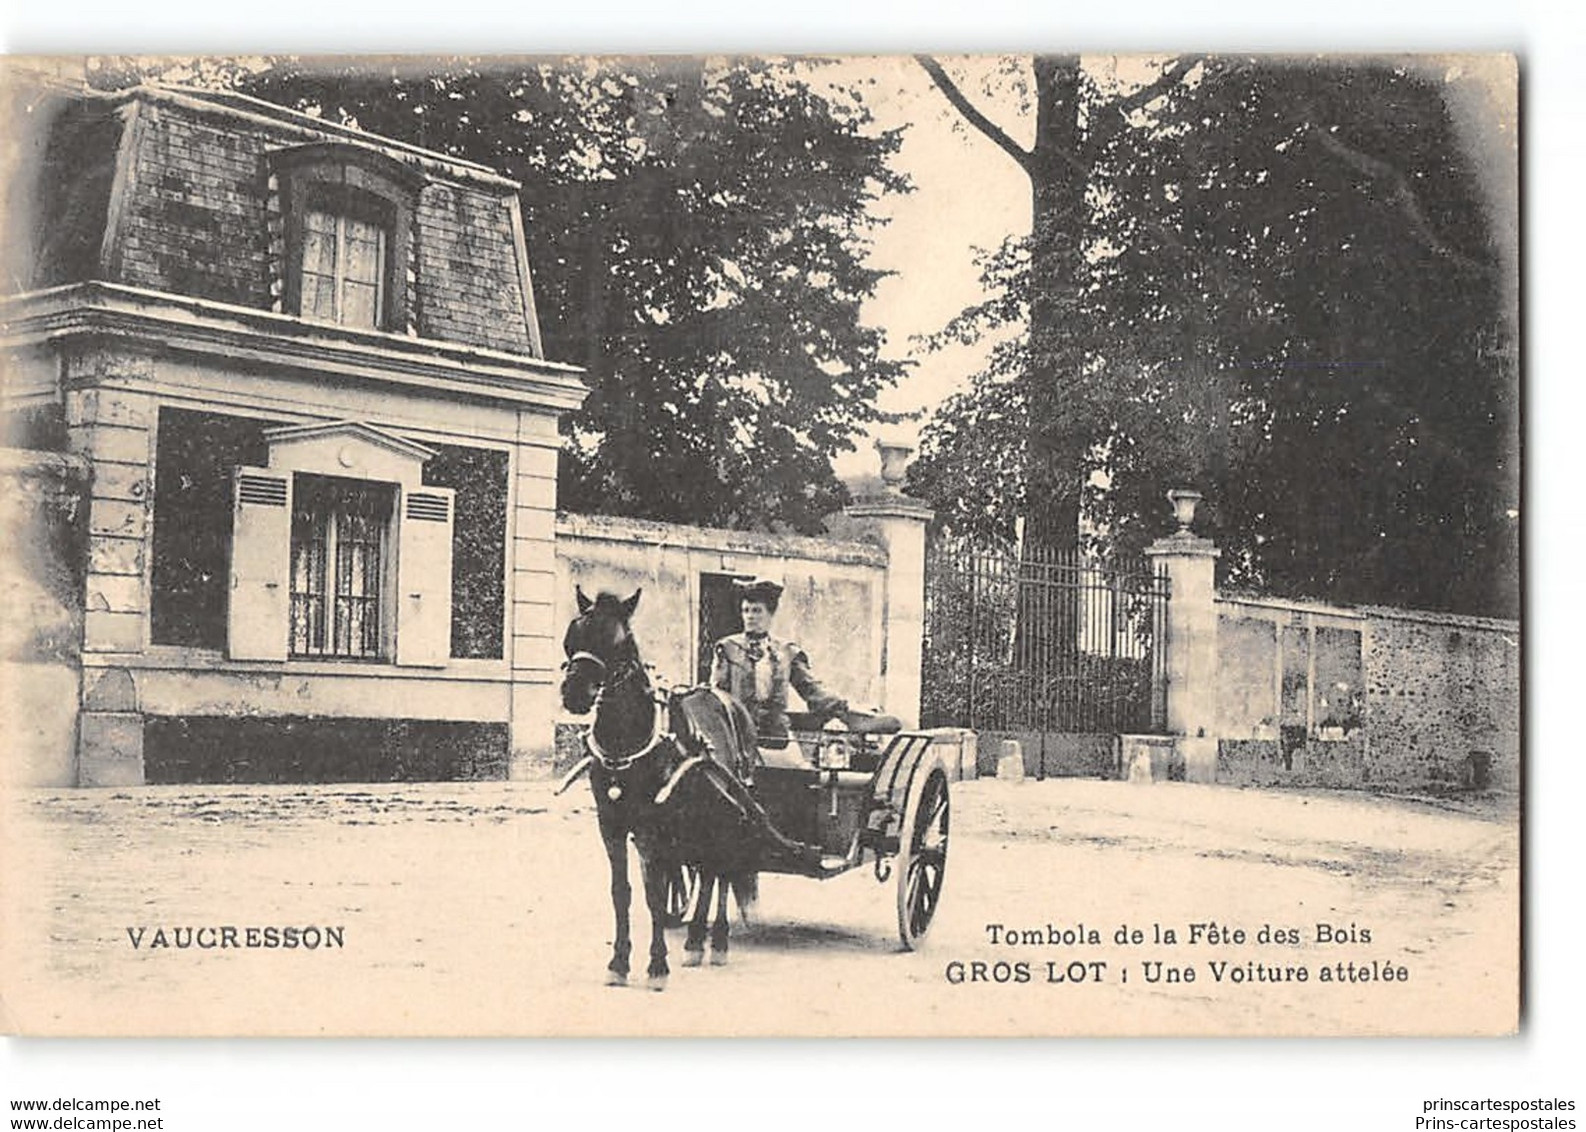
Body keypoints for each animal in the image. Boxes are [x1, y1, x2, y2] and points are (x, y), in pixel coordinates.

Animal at [564, 586, 799, 982]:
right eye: (573, 635)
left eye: (620, 642)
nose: (573, 693)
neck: (629, 742)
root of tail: (729, 701)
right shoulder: (611, 824)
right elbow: (622, 891)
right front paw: (619, 962)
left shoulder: (653, 828)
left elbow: (655, 895)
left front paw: (657, 964)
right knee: (706, 871)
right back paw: (695, 941)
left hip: (728, 813)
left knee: (721, 869)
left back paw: (714, 941)